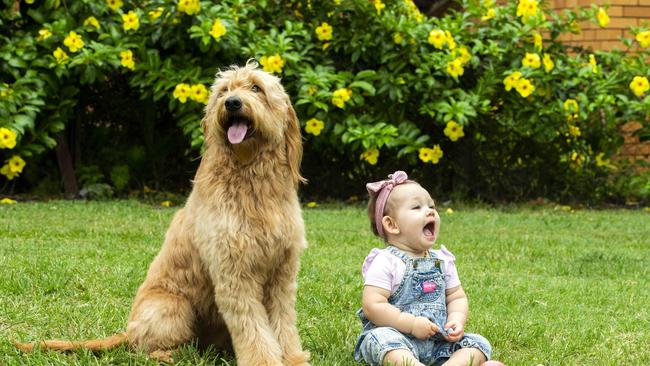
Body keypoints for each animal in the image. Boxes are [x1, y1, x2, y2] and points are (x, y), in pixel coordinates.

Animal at [13, 63, 308, 366]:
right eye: (224, 90)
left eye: (256, 88)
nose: (232, 102)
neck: (251, 181)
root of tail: (127, 331)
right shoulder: (234, 274)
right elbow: (252, 327)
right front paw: (264, 360)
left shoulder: (282, 273)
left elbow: (283, 322)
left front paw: (292, 358)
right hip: (172, 306)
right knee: (144, 348)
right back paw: (172, 354)